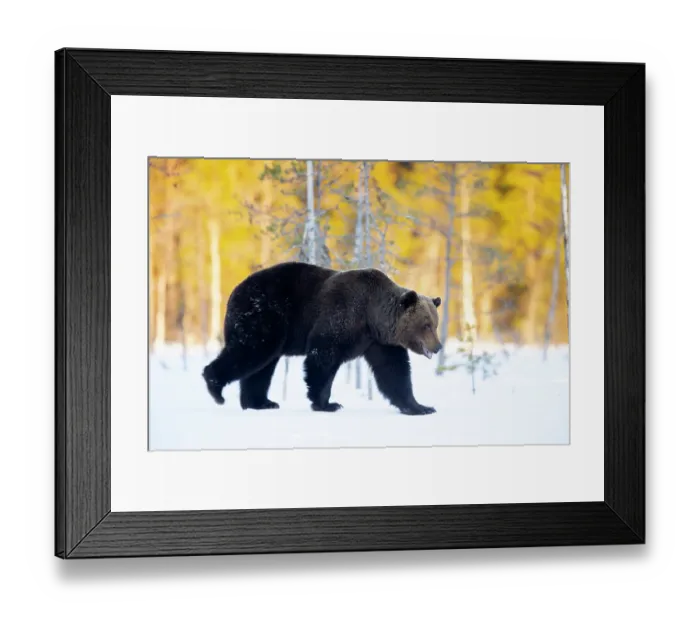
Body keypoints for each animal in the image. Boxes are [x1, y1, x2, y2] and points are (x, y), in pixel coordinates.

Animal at [201, 261, 442, 415]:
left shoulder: (379, 342)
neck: (372, 317)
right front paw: (327, 404)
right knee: (250, 351)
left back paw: (261, 402)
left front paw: (421, 407)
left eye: (435, 323)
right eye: (426, 325)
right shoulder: (340, 316)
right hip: (265, 317)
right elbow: (322, 359)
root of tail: (234, 291)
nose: (438, 346)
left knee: (262, 367)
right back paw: (216, 388)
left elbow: (394, 372)